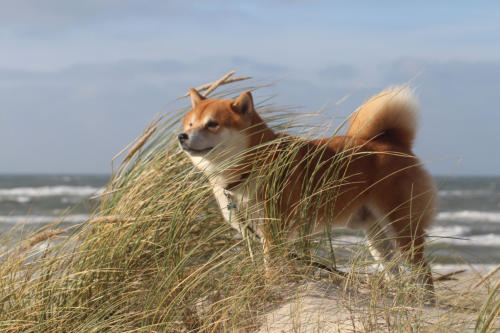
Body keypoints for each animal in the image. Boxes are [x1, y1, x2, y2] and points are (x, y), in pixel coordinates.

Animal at [178, 87, 436, 292]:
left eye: (212, 124)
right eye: (190, 124)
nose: (182, 136)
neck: (252, 166)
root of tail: (393, 143)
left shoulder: (273, 232)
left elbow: (271, 268)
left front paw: (271, 287)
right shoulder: (252, 234)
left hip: (403, 230)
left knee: (423, 273)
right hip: (376, 236)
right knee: (394, 271)